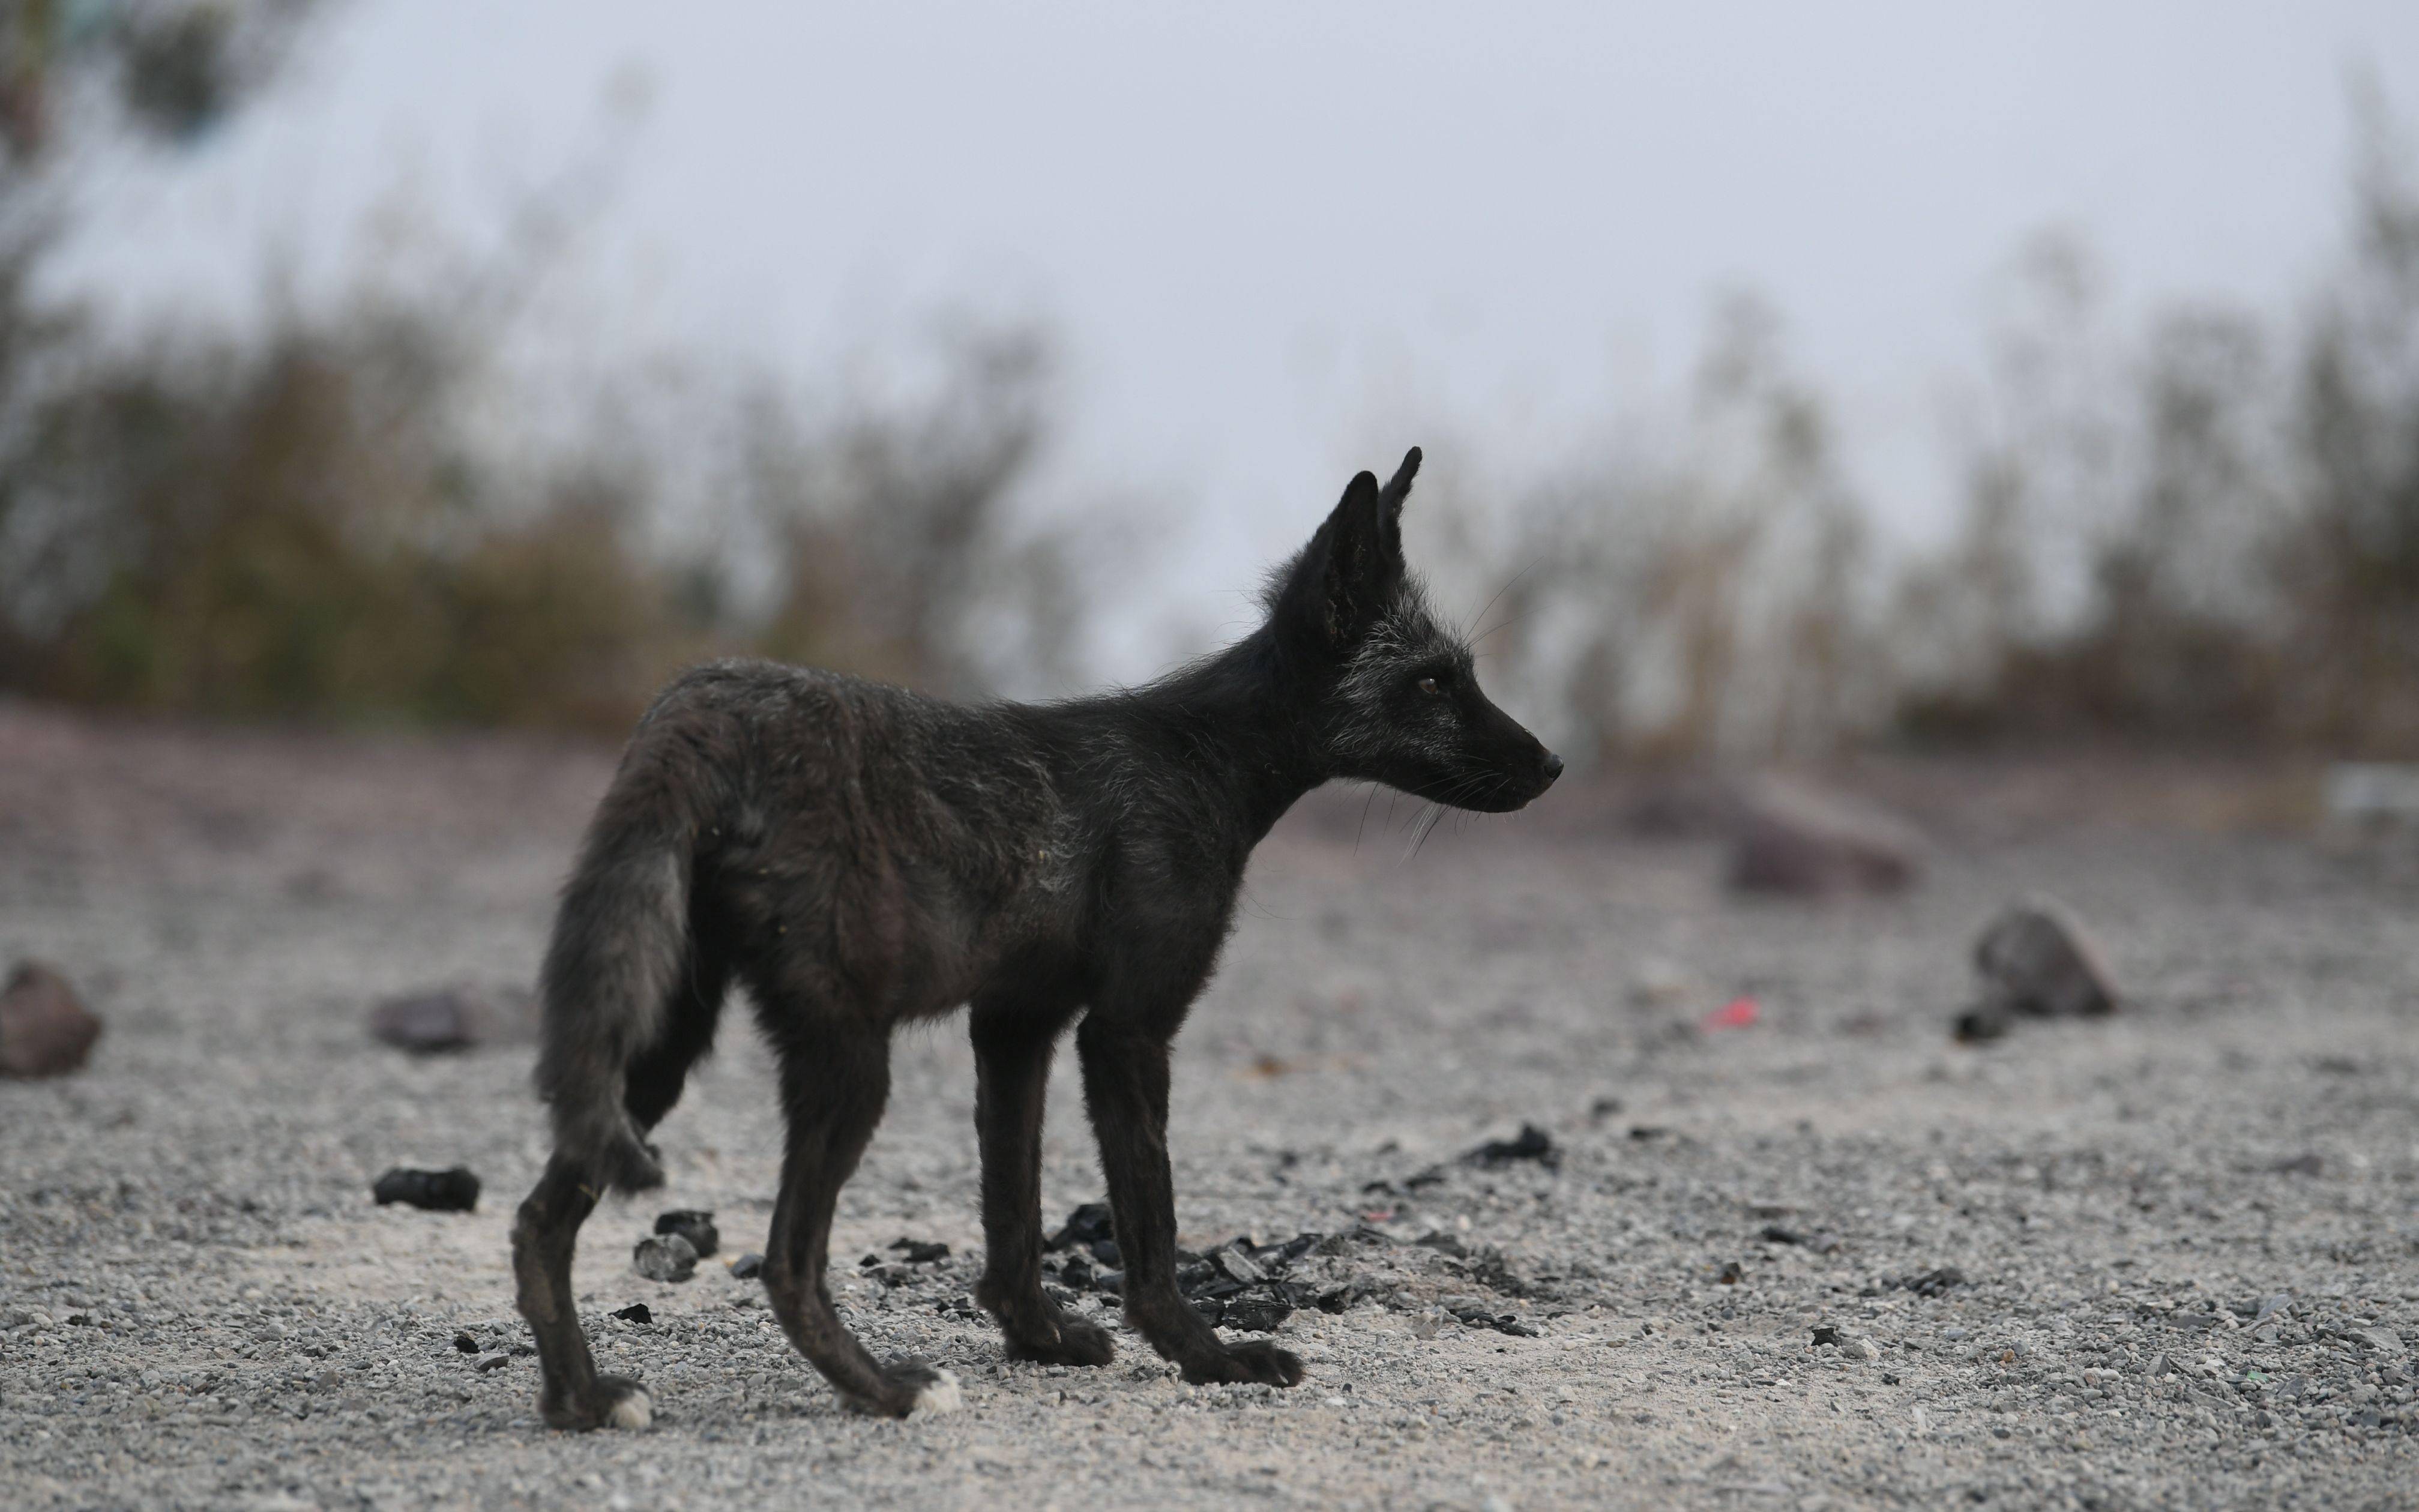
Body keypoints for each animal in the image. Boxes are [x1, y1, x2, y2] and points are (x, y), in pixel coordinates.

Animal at [515, 445, 1567, 1422]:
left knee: (535, 1223)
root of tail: (707, 696)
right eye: (1432, 682)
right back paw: (883, 1389)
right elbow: (1151, 1226)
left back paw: (579, 1397)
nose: (1554, 764)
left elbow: (1011, 1214)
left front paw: (1038, 1338)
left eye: (1461, 676)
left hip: (658, 1054)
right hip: (849, 1065)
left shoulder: (1016, 1024)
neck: (1204, 764)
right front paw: (1206, 1355)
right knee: (784, 1263)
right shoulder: (1128, 1028)